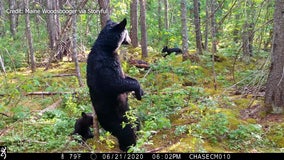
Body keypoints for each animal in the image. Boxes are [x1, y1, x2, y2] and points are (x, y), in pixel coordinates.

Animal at [86, 18, 144, 152]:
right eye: (127, 33)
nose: (131, 40)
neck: (106, 48)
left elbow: (126, 77)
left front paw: (141, 91)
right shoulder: (103, 66)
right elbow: (114, 84)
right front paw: (138, 91)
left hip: (129, 114)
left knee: (136, 121)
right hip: (116, 120)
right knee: (127, 133)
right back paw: (130, 146)